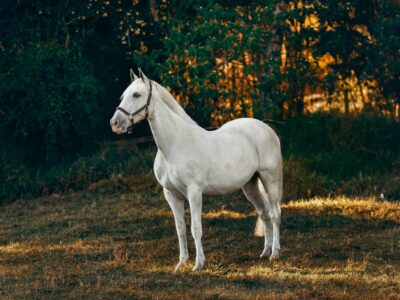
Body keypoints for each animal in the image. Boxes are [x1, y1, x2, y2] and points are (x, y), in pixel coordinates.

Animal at [111, 69, 282, 270]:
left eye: (136, 95)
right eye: (123, 96)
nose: (115, 123)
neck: (175, 145)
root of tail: (266, 128)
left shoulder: (194, 192)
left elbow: (195, 229)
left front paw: (198, 264)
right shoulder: (171, 194)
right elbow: (180, 229)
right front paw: (181, 263)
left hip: (269, 179)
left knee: (274, 213)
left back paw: (275, 253)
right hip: (250, 185)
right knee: (264, 213)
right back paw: (265, 252)